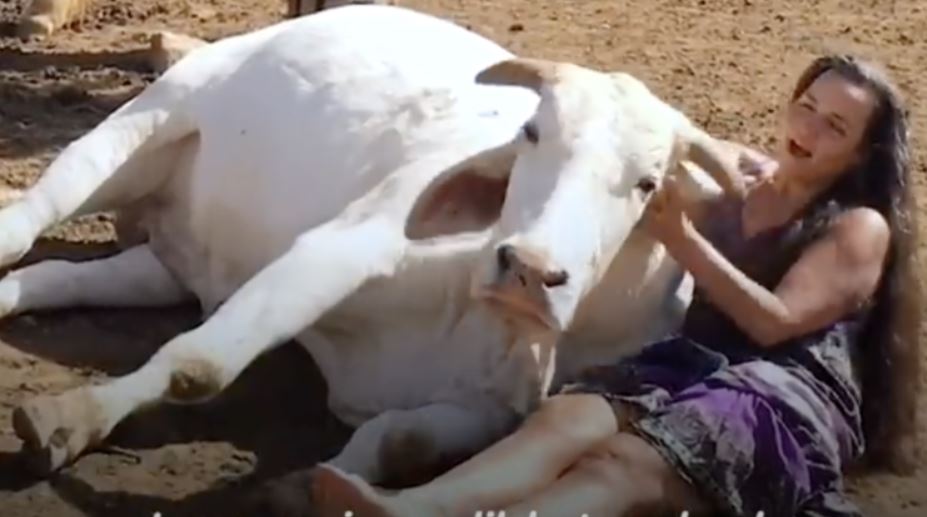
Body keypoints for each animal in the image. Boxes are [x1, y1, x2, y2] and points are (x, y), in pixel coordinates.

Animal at [5, 5, 748, 484]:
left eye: (648, 182)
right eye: (533, 132)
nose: (528, 268)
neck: (489, 324)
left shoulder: (494, 408)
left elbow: (396, 439)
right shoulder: (340, 248)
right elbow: (200, 365)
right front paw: (71, 418)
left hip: (171, 264)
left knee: (57, 278)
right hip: (148, 121)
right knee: (28, 220)